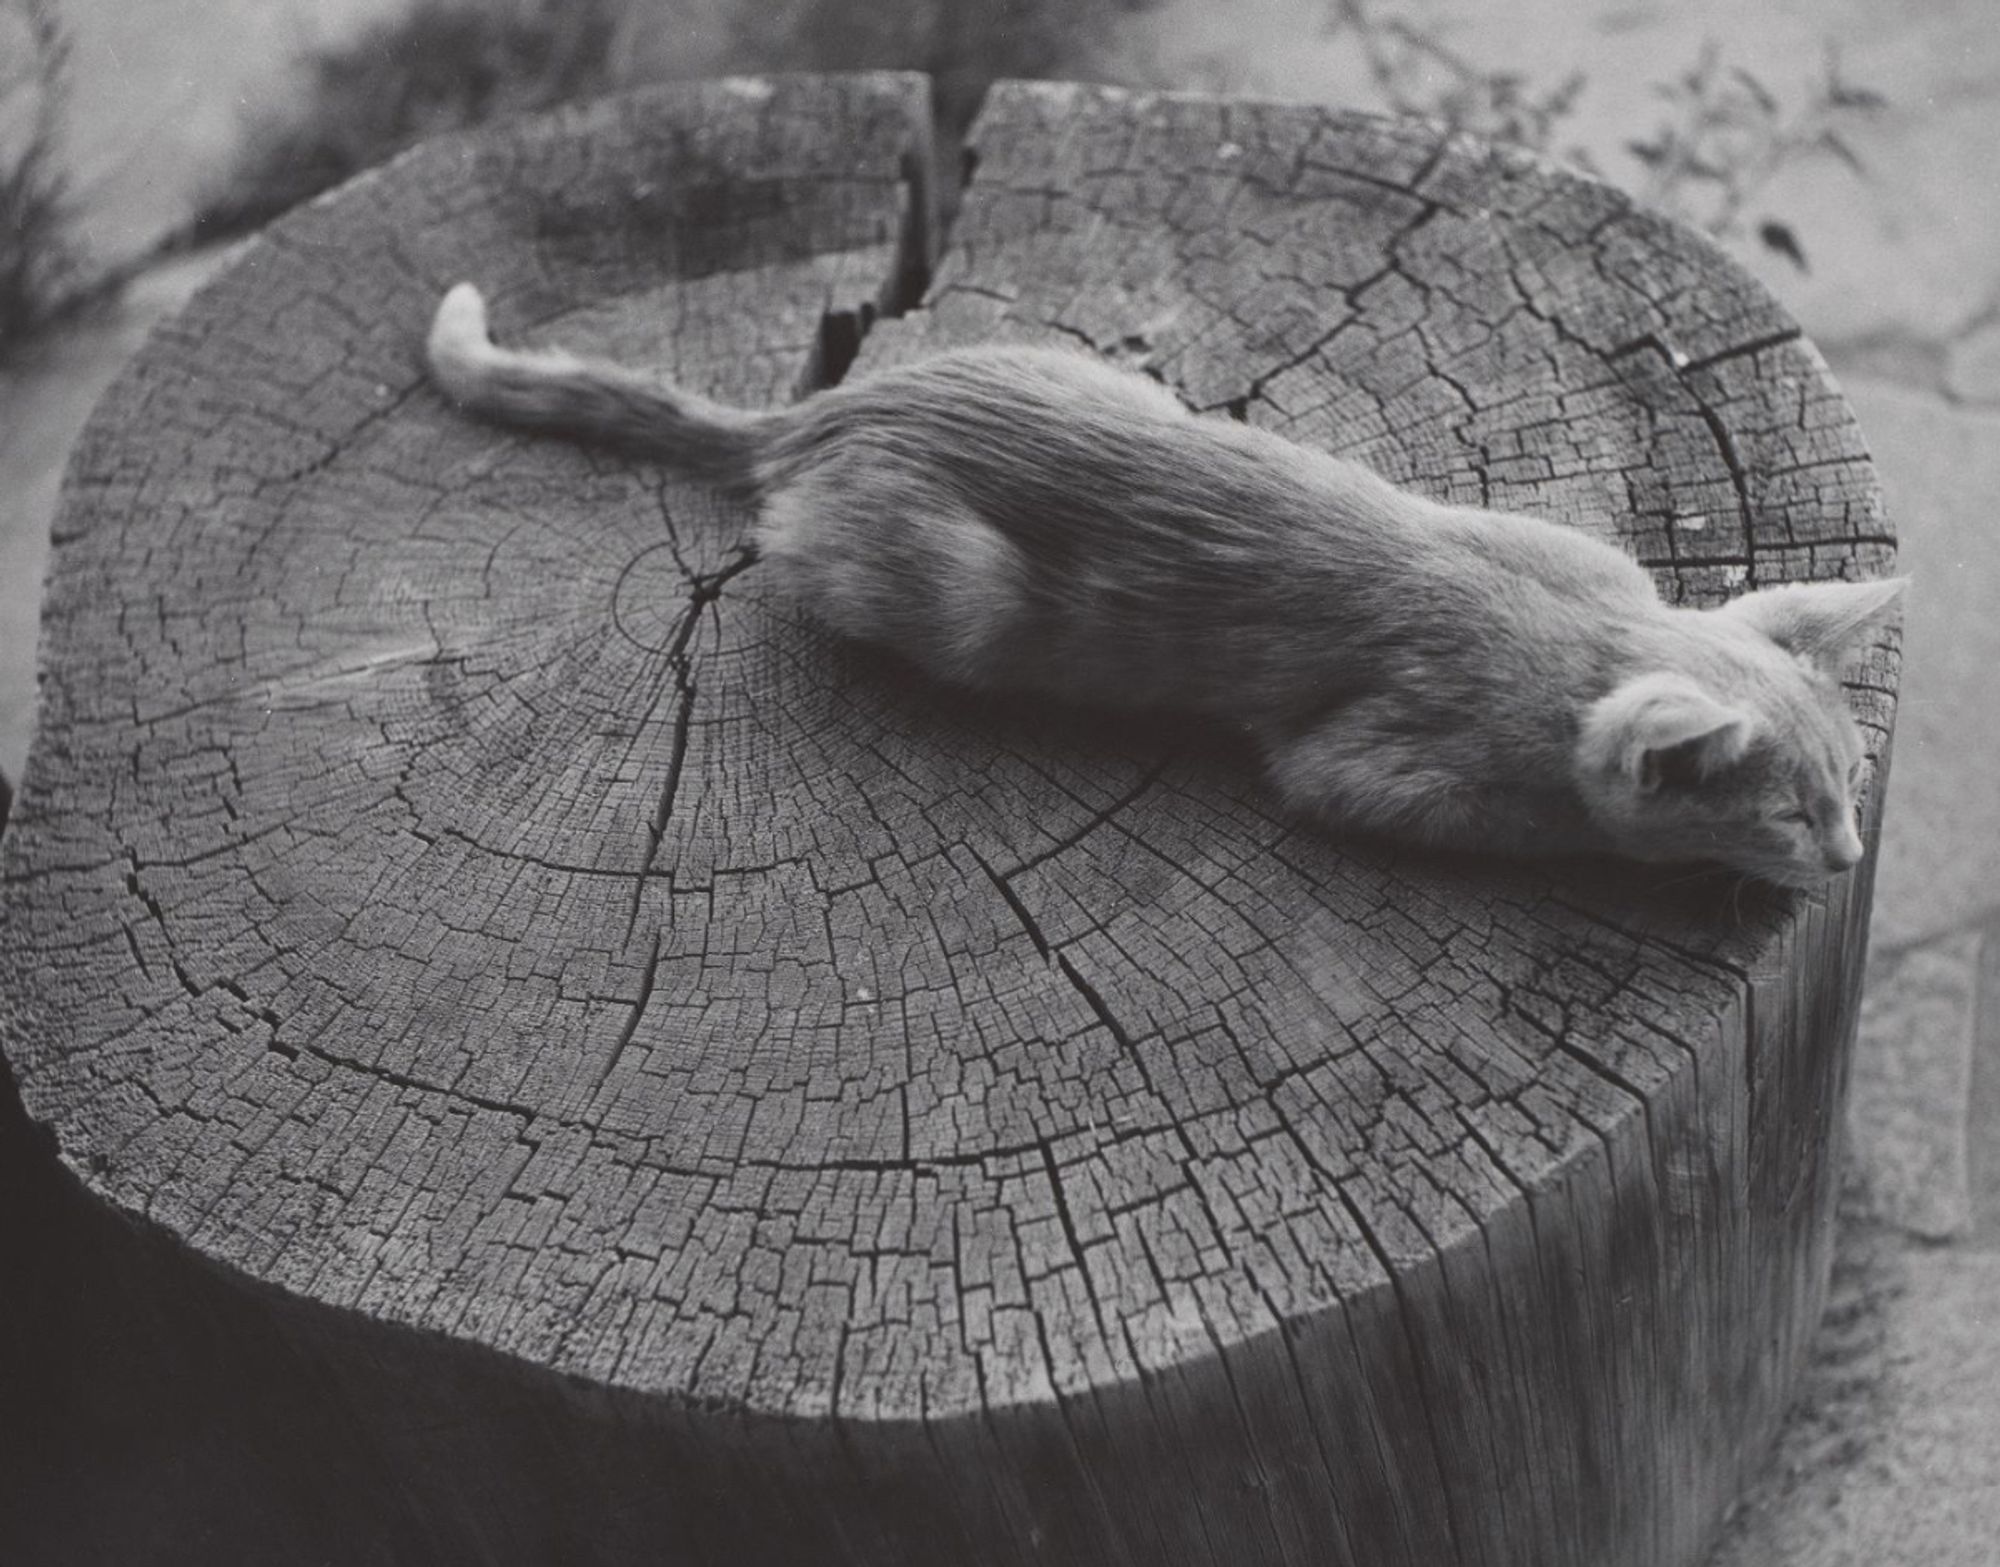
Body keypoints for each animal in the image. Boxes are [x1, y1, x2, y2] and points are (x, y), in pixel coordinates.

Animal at [426, 283, 1904, 887]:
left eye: (1851, 785)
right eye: (1788, 814)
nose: (1844, 857)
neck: (1577, 626)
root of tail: (835, 408)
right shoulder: (1360, 764)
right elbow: (1553, 823)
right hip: (955, 585)